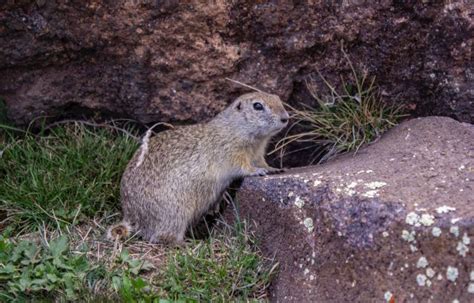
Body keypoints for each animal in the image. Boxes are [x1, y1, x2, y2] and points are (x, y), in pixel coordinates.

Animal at [108, 92, 288, 245]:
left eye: (278, 98)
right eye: (257, 106)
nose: (285, 118)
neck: (236, 128)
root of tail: (131, 217)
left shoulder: (258, 154)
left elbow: (262, 162)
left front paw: (274, 169)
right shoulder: (232, 152)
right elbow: (244, 166)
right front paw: (258, 171)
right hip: (176, 213)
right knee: (162, 237)